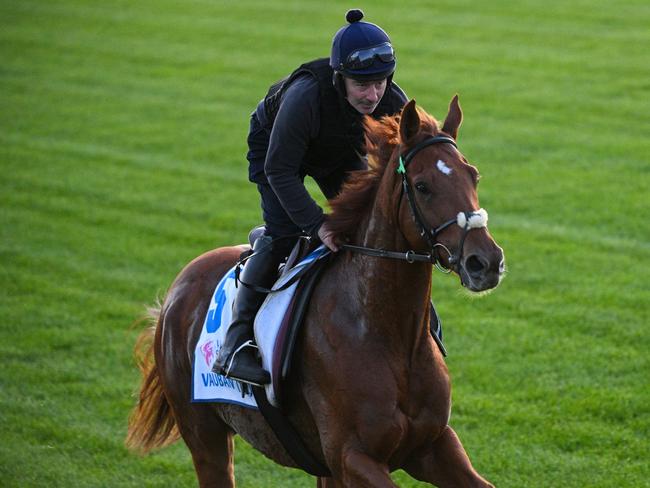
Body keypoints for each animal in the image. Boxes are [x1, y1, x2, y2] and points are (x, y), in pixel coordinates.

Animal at [125, 97, 502, 486]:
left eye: (473, 175)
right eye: (423, 185)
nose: (485, 262)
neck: (387, 332)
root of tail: (178, 287)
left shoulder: (431, 445)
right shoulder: (352, 456)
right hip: (204, 435)